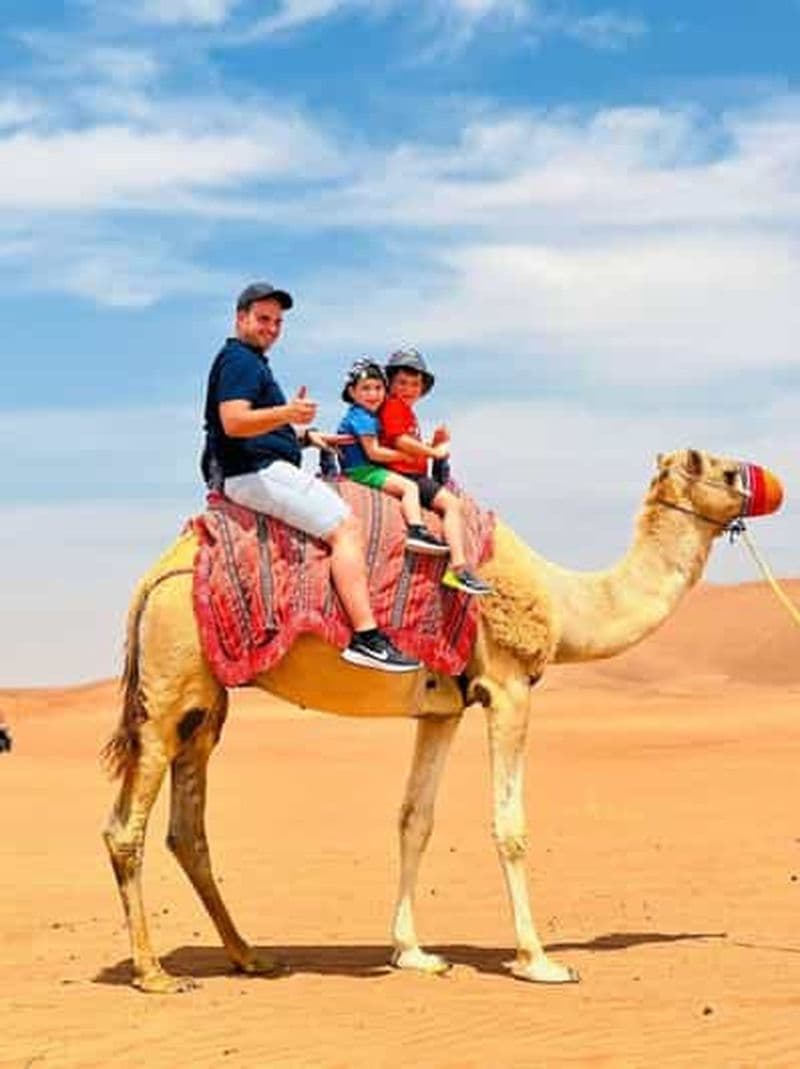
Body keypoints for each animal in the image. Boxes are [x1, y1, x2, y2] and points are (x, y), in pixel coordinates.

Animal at [102, 448, 783, 993]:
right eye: (725, 470)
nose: (772, 484)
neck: (565, 602)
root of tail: (151, 576)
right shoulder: (507, 687)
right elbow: (509, 825)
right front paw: (540, 961)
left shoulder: (443, 708)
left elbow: (415, 820)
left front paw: (413, 953)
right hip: (169, 682)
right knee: (125, 828)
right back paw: (154, 974)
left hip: (205, 703)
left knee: (187, 829)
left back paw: (250, 957)